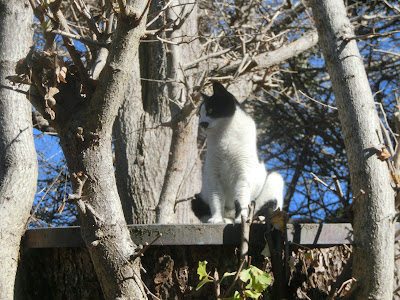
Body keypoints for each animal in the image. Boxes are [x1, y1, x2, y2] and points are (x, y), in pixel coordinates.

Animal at [192, 82, 282, 223]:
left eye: (211, 110)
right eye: (199, 115)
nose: (202, 123)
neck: (224, 135)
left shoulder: (243, 174)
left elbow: (241, 199)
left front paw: (241, 219)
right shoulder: (213, 175)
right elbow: (216, 199)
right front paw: (216, 219)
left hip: (275, 179)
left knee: (265, 208)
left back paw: (254, 219)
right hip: (197, 198)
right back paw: (224, 220)